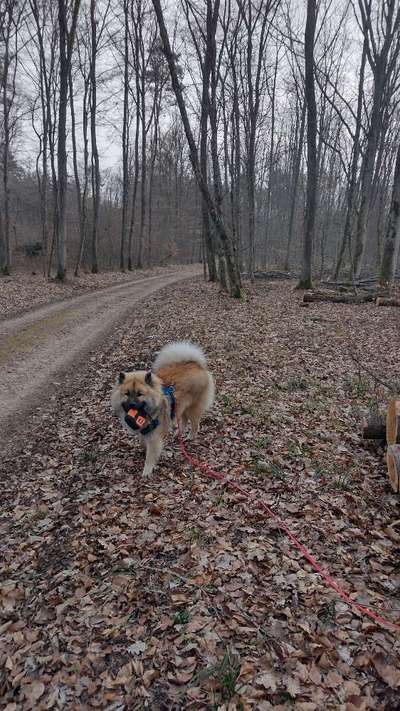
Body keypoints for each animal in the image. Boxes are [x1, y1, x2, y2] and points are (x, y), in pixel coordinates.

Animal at [111, 340, 214, 476]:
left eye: (139, 394)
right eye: (127, 394)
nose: (132, 404)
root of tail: (196, 364)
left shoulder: (154, 438)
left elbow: (150, 456)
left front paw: (146, 472)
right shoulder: (144, 432)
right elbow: (143, 443)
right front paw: (143, 451)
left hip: (192, 408)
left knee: (195, 424)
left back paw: (190, 437)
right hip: (180, 407)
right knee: (184, 420)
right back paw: (178, 434)